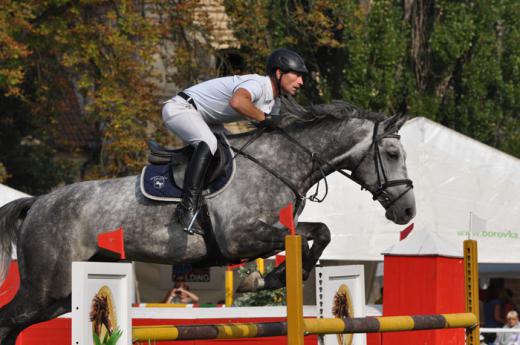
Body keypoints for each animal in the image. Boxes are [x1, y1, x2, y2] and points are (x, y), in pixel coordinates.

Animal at [0, 96, 416, 342]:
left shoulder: (270, 230)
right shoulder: (240, 236)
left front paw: (280, 275)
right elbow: (312, 233)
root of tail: (37, 203)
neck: (283, 162)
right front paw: (269, 278)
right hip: (45, 286)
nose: (408, 211)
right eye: (393, 153)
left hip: (62, 294)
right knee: (9, 319)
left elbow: (318, 232)